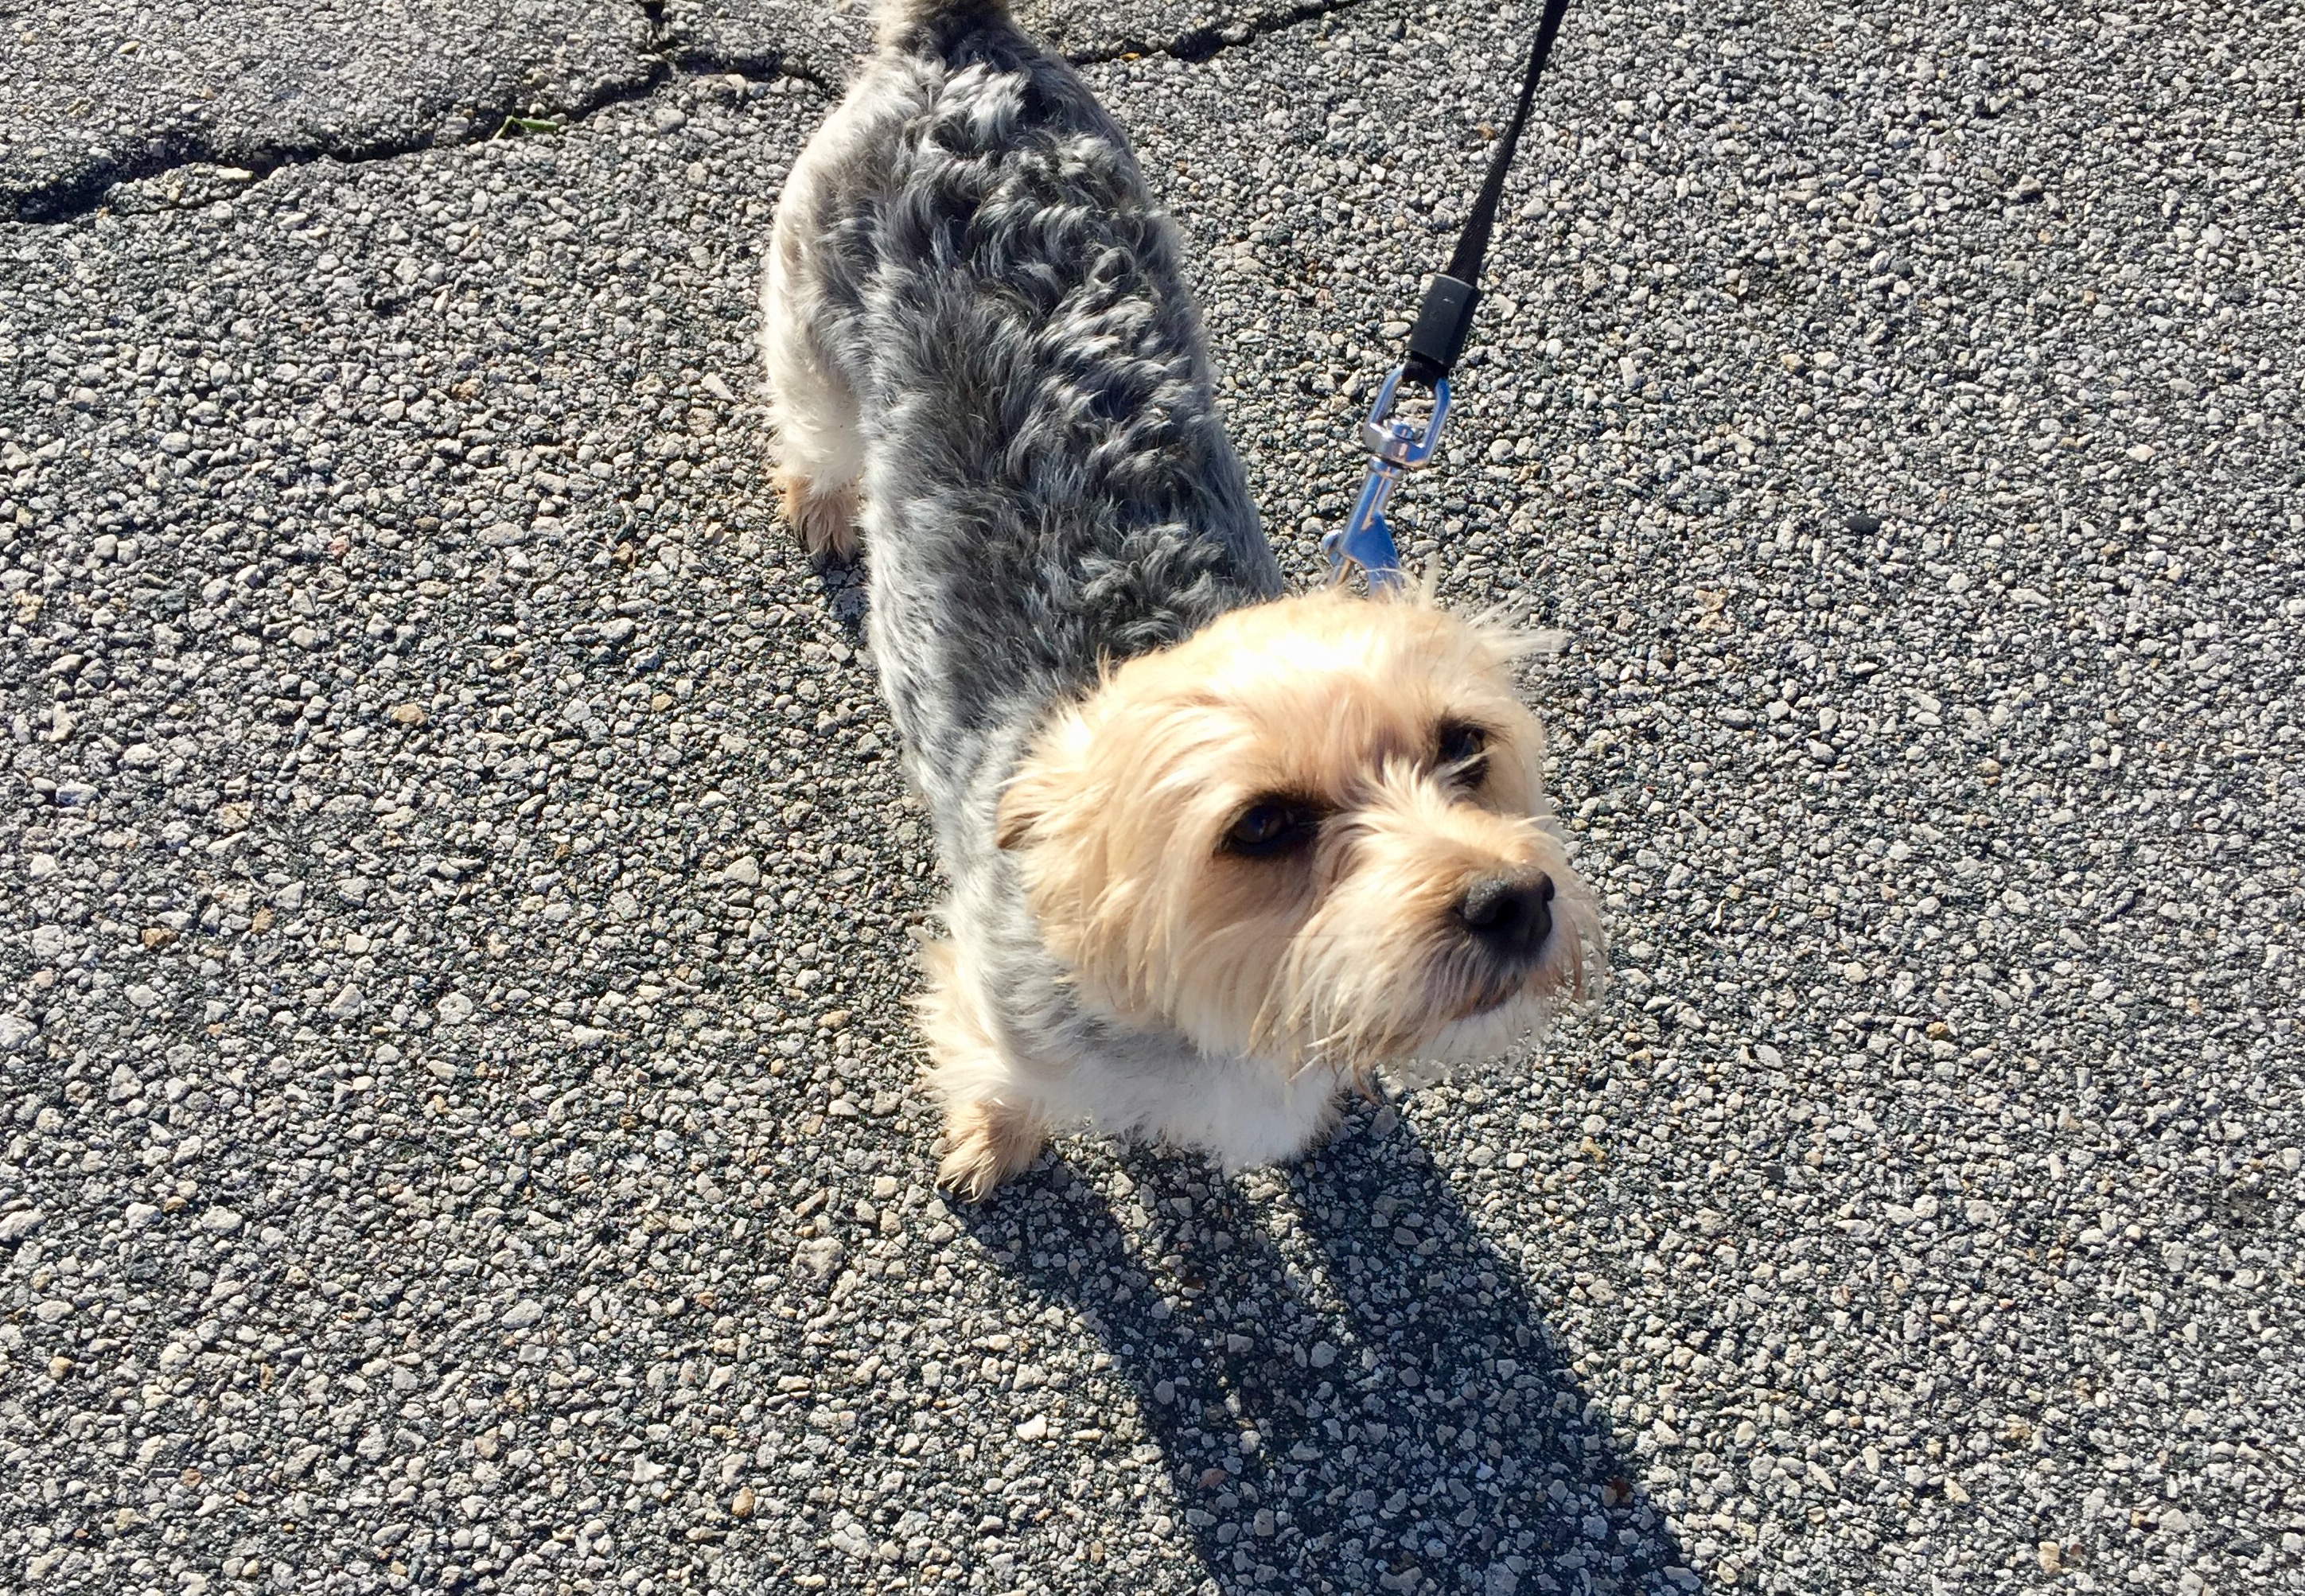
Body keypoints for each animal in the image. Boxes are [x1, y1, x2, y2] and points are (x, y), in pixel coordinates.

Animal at [765, 0, 1594, 1199]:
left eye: (1465, 747)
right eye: (1262, 826)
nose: (1511, 898)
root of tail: (961, 37)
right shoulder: (1006, 1012)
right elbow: (1006, 1080)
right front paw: (992, 1143)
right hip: (809, 302)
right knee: (807, 409)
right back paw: (826, 497)